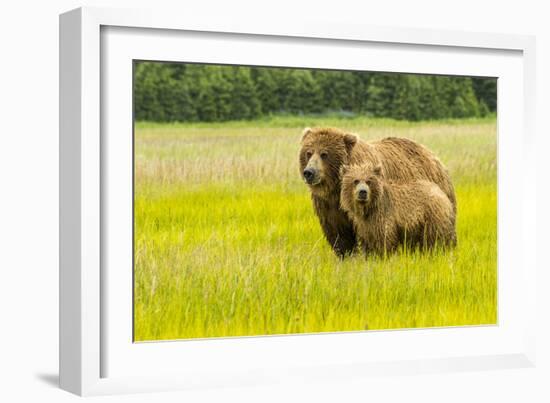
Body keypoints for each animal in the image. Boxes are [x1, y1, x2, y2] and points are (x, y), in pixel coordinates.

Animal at [300, 127, 460, 258]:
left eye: (324, 154)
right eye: (308, 153)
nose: (309, 172)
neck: (335, 189)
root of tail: (431, 154)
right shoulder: (328, 206)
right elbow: (339, 235)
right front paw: (345, 257)